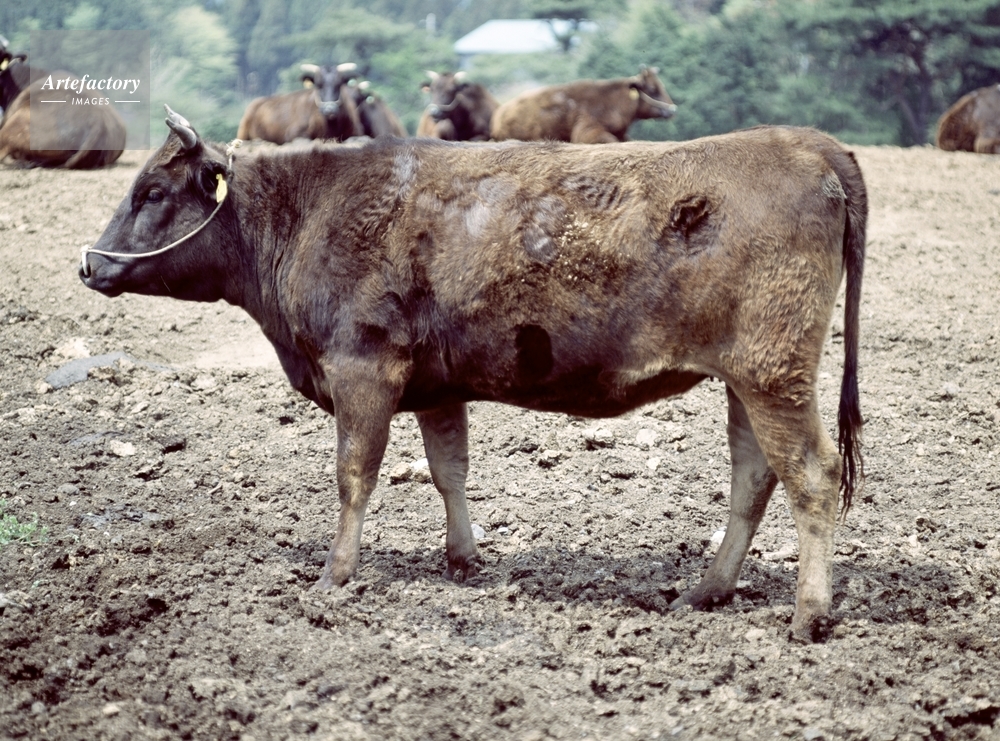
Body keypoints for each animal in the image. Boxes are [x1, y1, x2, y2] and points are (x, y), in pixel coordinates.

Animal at [80, 106, 866, 642]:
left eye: (153, 192)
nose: (89, 264)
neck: (310, 211)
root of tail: (805, 142)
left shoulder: (363, 370)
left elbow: (354, 474)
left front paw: (335, 575)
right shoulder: (435, 385)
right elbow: (447, 469)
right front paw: (463, 559)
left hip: (772, 374)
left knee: (811, 475)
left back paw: (809, 613)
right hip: (747, 380)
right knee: (754, 476)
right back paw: (706, 590)